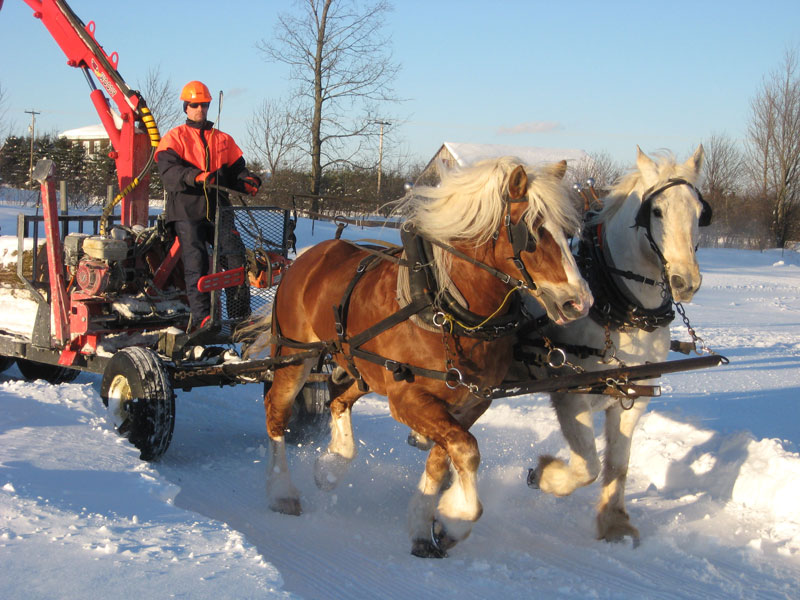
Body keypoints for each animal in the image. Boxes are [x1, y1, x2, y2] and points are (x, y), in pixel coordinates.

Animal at [257, 156, 593, 558]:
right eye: (533, 231)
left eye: (569, 231)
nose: (579, 302)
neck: (447, 308)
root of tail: (309, 256)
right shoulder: (408, 398)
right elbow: (466, 450)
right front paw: (457, 516)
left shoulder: (470, 402)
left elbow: (443, 457)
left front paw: (426, 523)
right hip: (295, 356)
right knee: (277, 413)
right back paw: (282, 492)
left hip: (364, 368)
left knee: (338, 399)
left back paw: (333, 463)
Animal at [523, 145, 710, 546]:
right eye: (656, 211)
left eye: (700, 213)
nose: (685, 281)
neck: (621, 305)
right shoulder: (570, 395)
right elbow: (588, 467)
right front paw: (544, 473)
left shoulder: (634, 395)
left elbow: (617, 464)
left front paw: (614, 524)